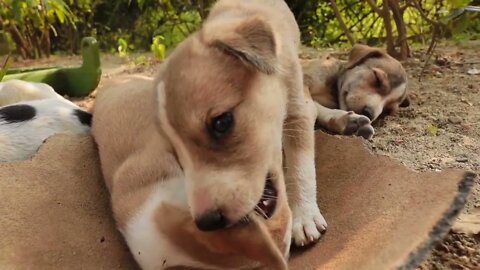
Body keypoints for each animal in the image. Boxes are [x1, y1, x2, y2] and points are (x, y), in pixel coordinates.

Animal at [93, 0, 326, 268]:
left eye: (221, 123)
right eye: (175, 154)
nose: (207, 222)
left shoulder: (296, 105)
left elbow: (301, 166)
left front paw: (304, 216)